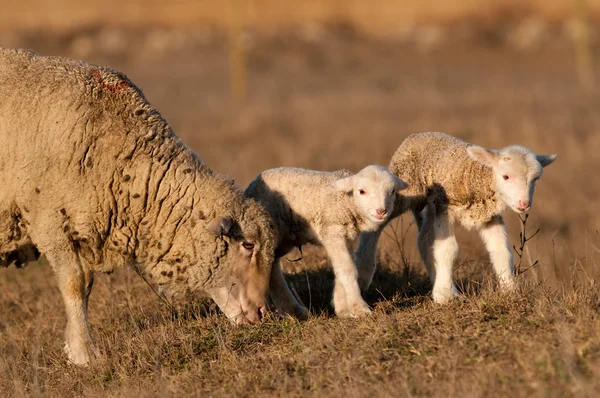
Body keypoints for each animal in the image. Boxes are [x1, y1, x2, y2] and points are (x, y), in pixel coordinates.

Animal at [0, 48, 276, 366]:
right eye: (247, 245)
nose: (262, 313)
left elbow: (86, 287)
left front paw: (73, 346)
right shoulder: (48, 222)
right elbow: (74, 284)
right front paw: (84, 354)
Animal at [244, 165, 408, 318]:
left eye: (393, 191)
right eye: (362, 191)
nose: (381, 211)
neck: (347, 201)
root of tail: (252, 185)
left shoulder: (346, 237)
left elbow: (341, 269)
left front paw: (342, 308)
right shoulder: (332, 231)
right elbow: (347, 269)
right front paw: (359, 308)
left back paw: (292, 310)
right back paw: (292, 309)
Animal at [356, 132, 556, 304]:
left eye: (536, 179)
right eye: (506, 176)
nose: (524, 204)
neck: (477, 175)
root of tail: (416, 136)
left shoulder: (488, 216)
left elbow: (501, 250)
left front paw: (510, 290)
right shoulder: (446, 207)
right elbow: (448, 248)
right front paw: (445, 296)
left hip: (432, 205)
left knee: (424, 240)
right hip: (405, 192)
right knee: (375, 228)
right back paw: (364, 274)